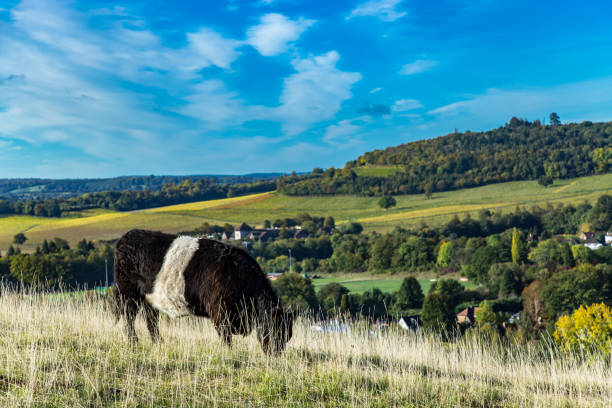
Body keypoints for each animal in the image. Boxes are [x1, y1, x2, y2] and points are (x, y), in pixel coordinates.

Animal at [115, 228, 296, 356]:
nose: (275, 354)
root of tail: (127, 236)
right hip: (128, 293)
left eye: (287, 335)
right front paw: (228, 354)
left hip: (150, 298)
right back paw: (133, 342)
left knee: (151, 321)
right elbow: (226, 338)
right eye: (274, 330)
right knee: (129, 318)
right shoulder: (220, 313)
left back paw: (159, 343)